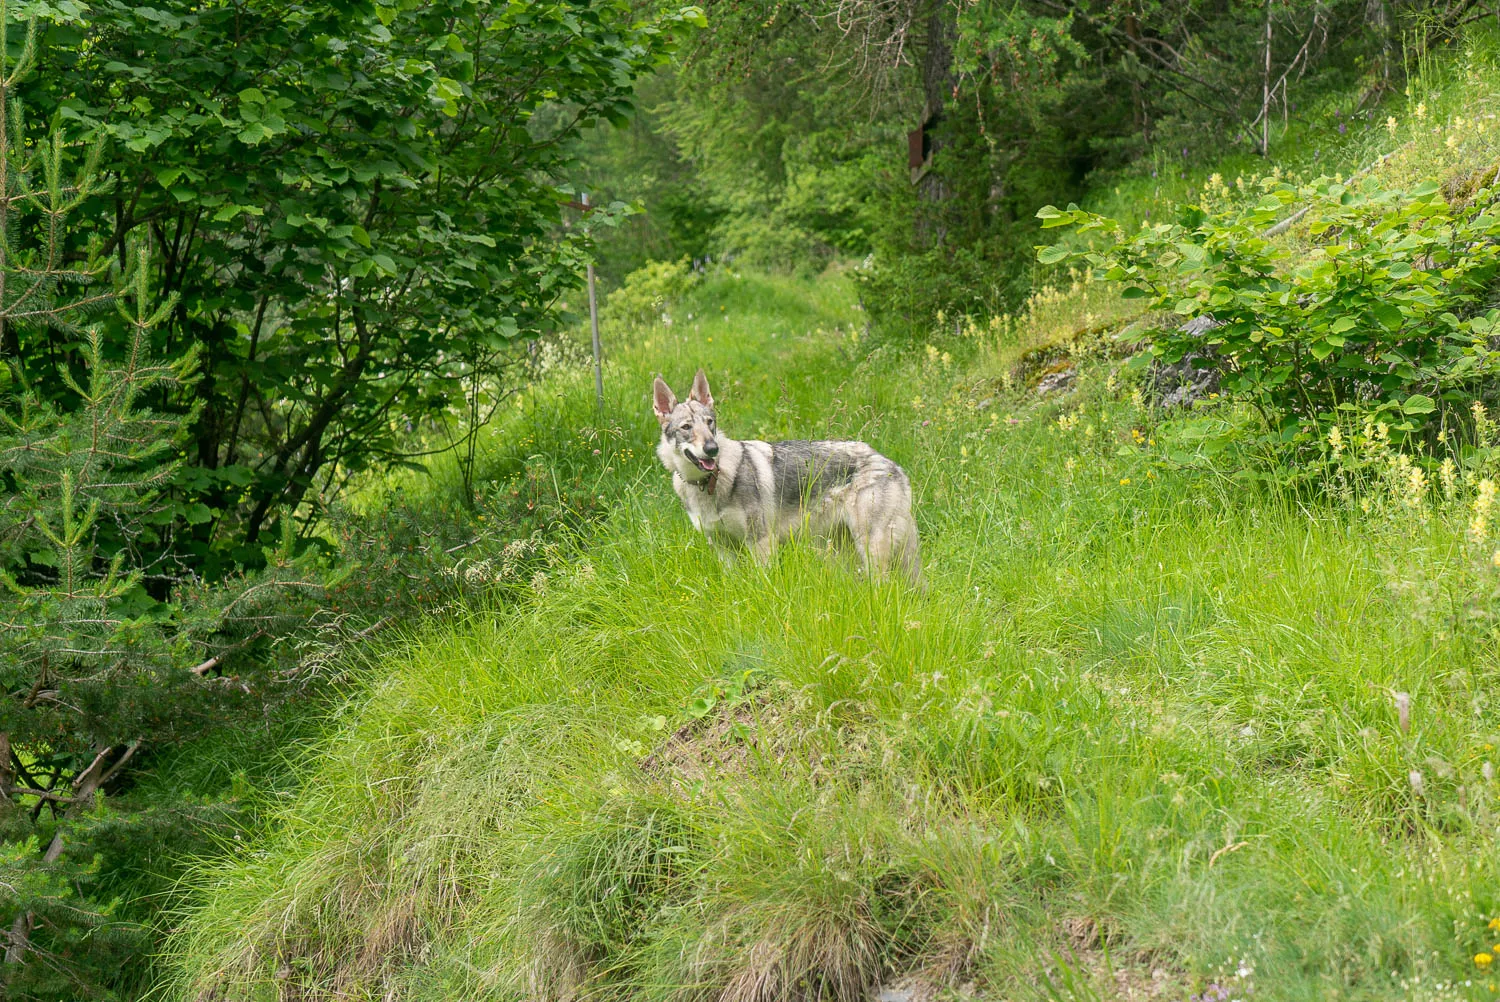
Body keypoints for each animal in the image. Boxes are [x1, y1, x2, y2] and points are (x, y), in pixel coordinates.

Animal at [652, 369, 921, 582]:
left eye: (709, 423)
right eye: (687, 427)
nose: (712, 449)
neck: (709, 484)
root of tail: (893, 465)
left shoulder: (761, 542)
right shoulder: (722, 549)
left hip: (870, 549)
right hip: (842, 551)